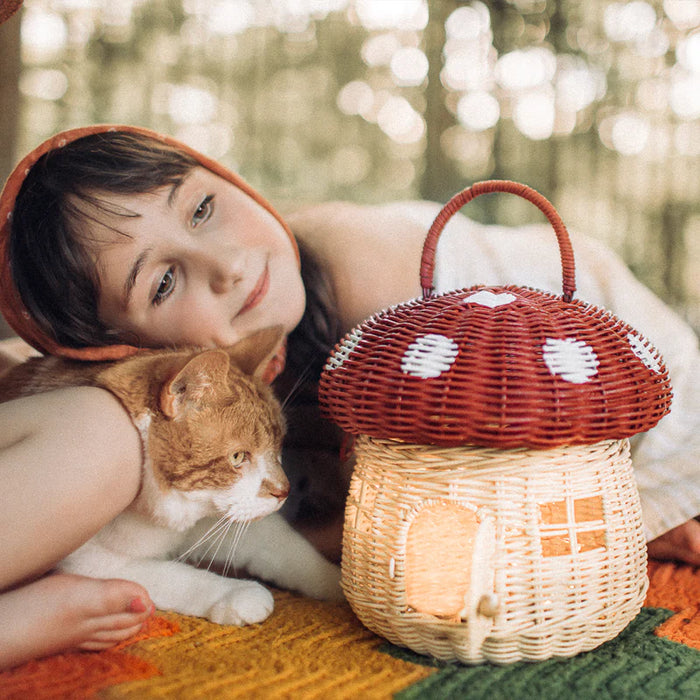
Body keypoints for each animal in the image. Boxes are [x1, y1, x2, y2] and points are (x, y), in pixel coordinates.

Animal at [0, 330, 344, 628]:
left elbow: (286, 549)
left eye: (277, 446)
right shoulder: (89, 562)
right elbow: (176, 576)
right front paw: (237, 593)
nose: (284, 490)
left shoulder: (220, 521)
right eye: (238, 457)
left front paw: (341, 584)